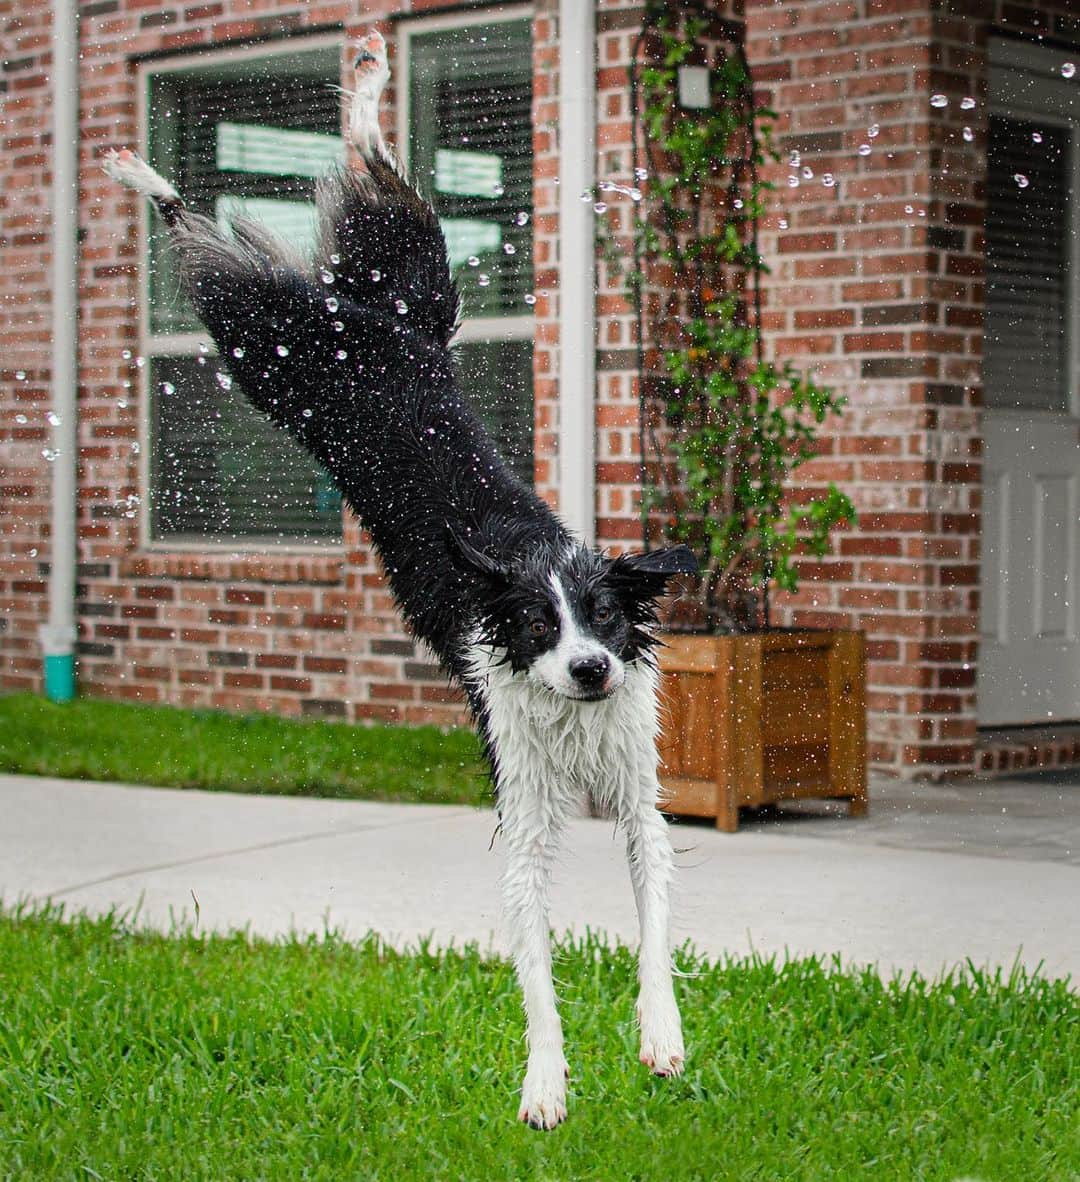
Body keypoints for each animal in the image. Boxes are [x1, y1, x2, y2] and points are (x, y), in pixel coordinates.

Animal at [105, 32, 694, 1129]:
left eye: (602, 615)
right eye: (534, 625)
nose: (590, 669)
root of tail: (373, 339)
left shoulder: (638, 796)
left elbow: (653, 925)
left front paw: (661, 1035)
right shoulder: (522, 808)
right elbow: (537, 972)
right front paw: (545, 1081)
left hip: (413, 293)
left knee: (378, 181)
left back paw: (366, 81)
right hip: (272, 344)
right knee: (205, 236)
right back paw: (145, 172)